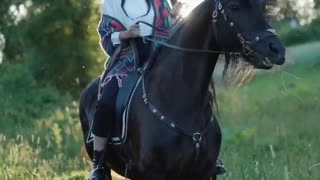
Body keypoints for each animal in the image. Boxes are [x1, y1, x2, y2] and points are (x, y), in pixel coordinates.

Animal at [79, 0, 284, 179]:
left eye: (262, 6)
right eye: (234, 6)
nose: (276, 50)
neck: (179, 101)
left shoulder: (204, 172)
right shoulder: (155, 174)